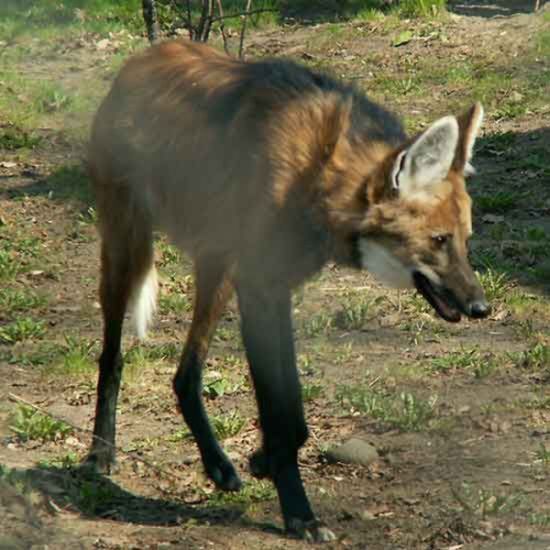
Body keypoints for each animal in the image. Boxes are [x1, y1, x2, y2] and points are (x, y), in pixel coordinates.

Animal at [86, 38, 492, 544]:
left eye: (465, 240)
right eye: (438, 241)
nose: (480, 307)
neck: (317, 172)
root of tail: (142, 57)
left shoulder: (272, 287)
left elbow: (293, 413)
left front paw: (261, 461)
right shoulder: (262, 289)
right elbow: (281, 412)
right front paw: (299, 513)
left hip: (219, 268)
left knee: (185, 374)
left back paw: (217, 466)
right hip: (129, 249)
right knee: (113, 355)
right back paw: (101, 452)